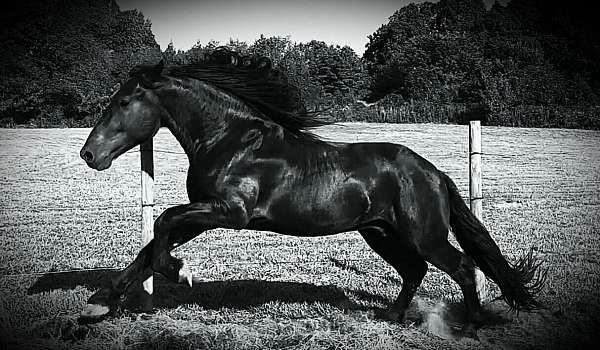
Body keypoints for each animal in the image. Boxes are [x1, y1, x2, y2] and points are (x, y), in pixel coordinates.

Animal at [79, 49, 544, 336]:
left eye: (124, 102)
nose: (88, 154)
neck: (229, 140)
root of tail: (434, 173)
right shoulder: (205, 211)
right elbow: (152, 243)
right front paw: (99, 307)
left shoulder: (229, 212)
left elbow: (161, 223)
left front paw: (179, 271)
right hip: (380, 233)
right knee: (415, 270)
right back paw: (392, 316)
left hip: (423, 235)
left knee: (462, 267)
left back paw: (469, 327)